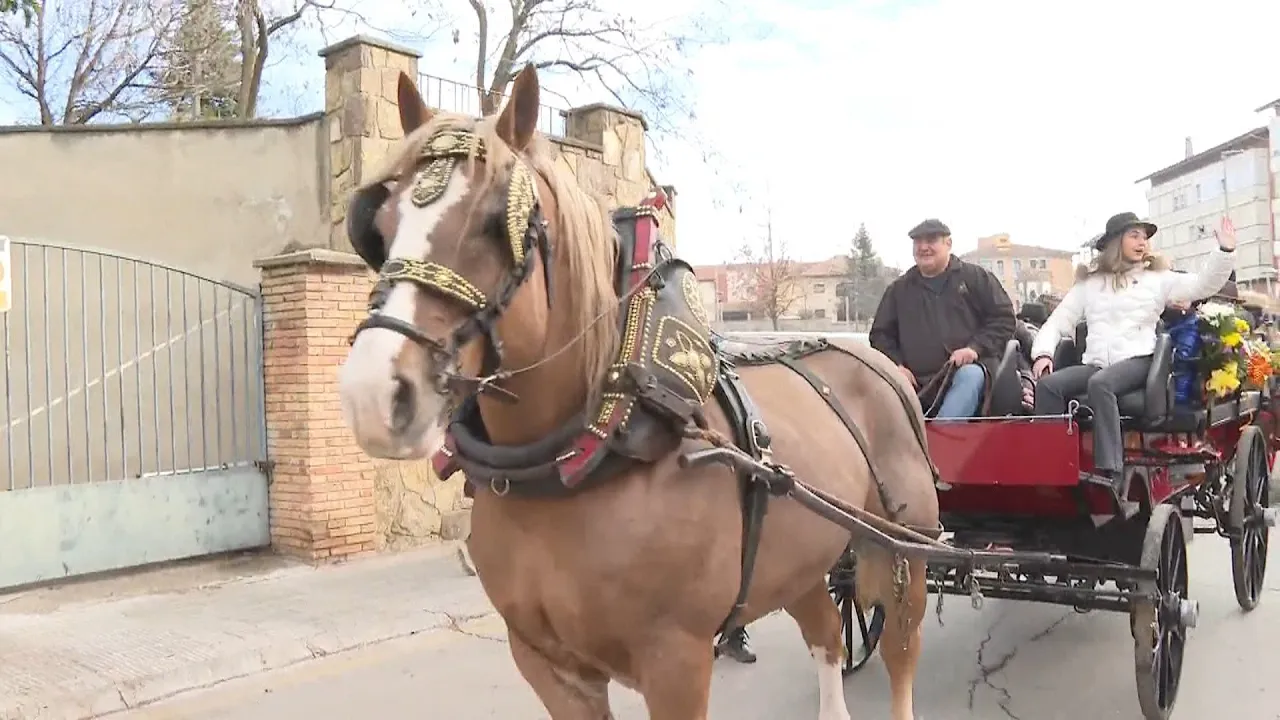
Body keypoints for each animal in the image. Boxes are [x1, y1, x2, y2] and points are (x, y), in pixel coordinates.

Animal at [340, 64, 942, 712]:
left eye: (493, 223)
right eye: (380, 226)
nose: (374, 393)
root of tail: (884, 364)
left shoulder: (676, 660)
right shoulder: (546, 662)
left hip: (904, 552)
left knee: (901, 652)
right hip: (805, 560)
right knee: (828, 638)